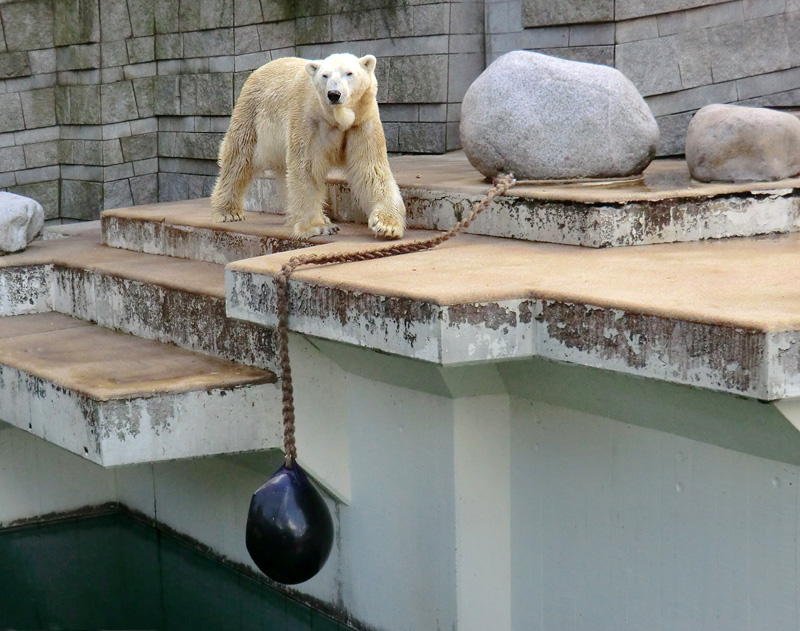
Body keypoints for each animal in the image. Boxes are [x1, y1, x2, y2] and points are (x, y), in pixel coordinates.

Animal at [211, 51, 406, 239]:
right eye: (325, 75)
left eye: (349, 73)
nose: (334, 94)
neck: (336, 118)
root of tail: (258, 70)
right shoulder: (309, 121)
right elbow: (307, 168)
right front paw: (318, 227)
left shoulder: (362, 122)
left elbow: (370, 168)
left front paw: (386, 225)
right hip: (252, 113)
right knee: (240, 157)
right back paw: (228, 212)